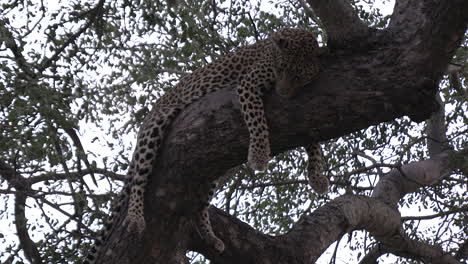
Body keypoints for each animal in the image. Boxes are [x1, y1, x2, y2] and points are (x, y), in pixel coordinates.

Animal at [82, 27, 328, 262]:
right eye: (282, 68)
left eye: (300, 76)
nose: (283, 93)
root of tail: (151, 112)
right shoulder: (248, 83)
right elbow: (257, 120)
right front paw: (259, 155)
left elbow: (312, 138)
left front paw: (317, 176)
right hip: (154, 129)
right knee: (139, 179)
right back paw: (134, 217)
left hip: (213, 171)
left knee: (200, 206)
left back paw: (211, 237)